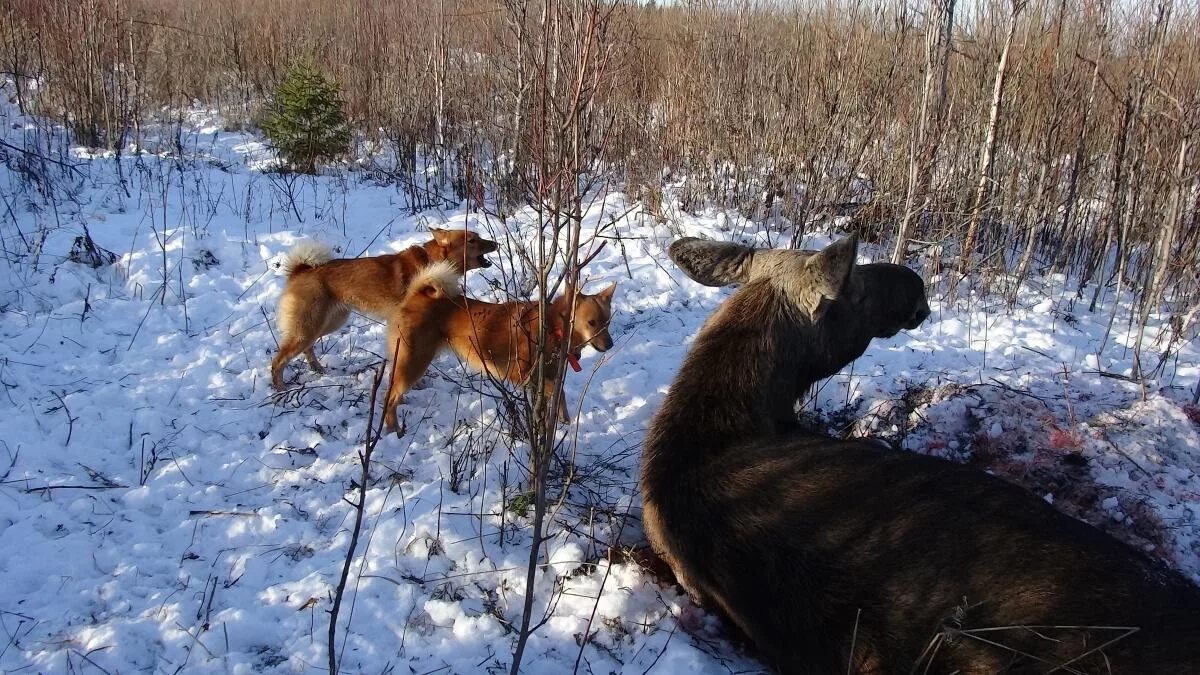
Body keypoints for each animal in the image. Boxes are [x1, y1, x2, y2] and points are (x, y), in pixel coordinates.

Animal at [272, 225, 496, 386]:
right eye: (472, 240)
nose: (495, 243)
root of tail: (301, 269)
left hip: (329, 322)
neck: (433, 261)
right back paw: (279, 392)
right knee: (278, 362)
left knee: (307, 349)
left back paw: (317, 369)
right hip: (309, 327)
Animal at [384, 263, 619, 429]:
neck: (552, 326)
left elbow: (557, 394)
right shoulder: (522, 375)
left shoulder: (548, 376)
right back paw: (393, 431)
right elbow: (557, 392)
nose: (610, 345)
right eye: (592, 323)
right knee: (390, 396)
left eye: (608, 322)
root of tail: (415, 296)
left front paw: (563, 420)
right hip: (413, 362)